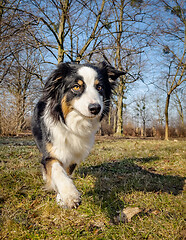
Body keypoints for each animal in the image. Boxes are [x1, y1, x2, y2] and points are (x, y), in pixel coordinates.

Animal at [31, 61, 125, 208]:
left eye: (99, 87)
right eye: (76, 87)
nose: (95, 108)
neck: (74, 125)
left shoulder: (75, 156)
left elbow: (67, 172)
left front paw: (61, 197)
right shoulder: (51, 150)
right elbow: (57, 169)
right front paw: (69, 194)